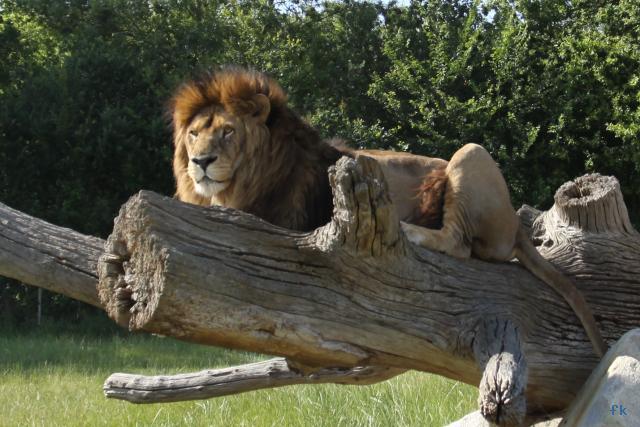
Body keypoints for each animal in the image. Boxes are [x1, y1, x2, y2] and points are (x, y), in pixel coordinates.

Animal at [169, 66, 605, 357]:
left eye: (227, 132)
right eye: (194, 134)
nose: (200, 161)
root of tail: (517, 227)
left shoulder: (278, 223)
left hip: (470, 153)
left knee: (460, 243)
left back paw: (410, 231)